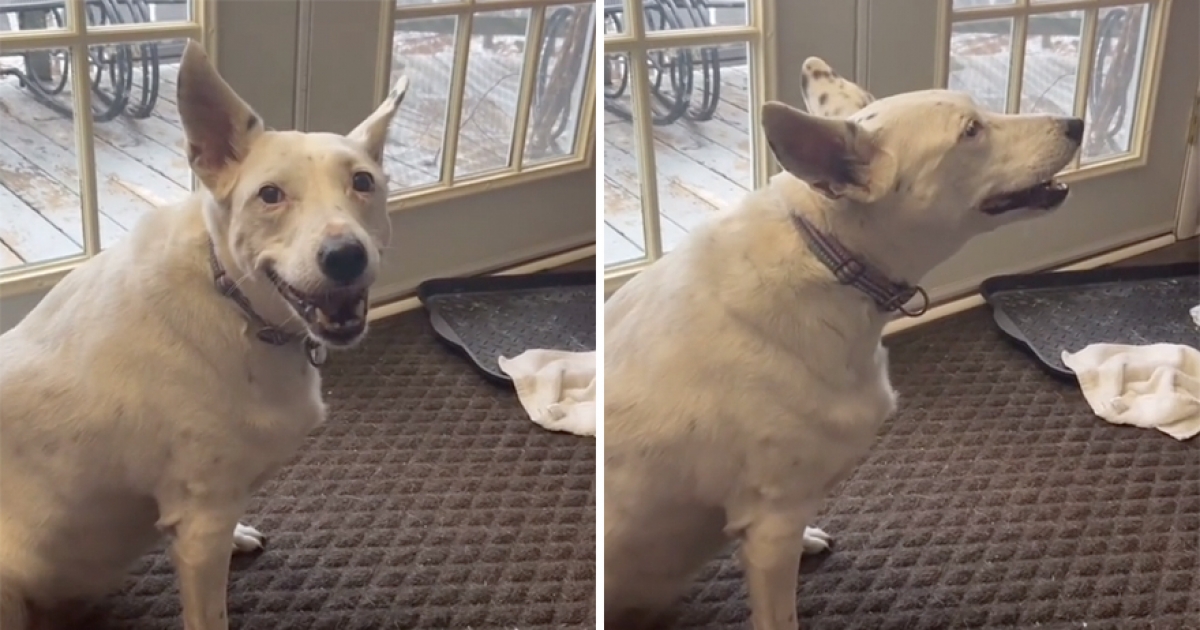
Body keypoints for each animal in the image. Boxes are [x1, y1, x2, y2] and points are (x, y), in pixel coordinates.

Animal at [0, 41, 407, 629]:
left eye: (363, 182)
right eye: (269, 195)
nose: (345, 256)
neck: (235, 305)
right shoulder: (200, 526)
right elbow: (210, 613)